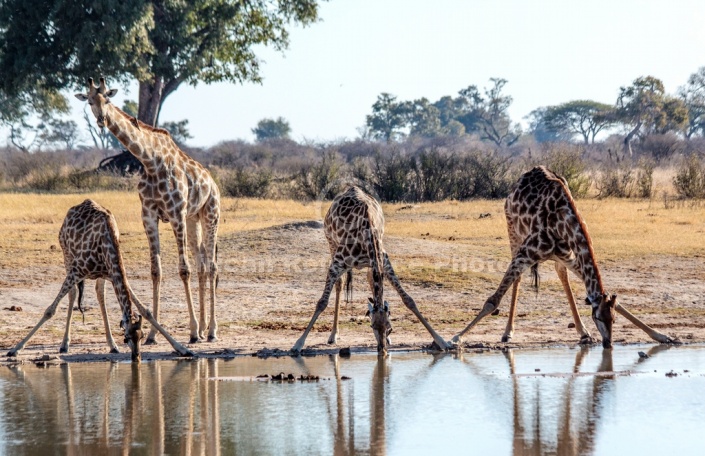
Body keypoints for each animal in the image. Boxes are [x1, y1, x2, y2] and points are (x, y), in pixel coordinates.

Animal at [5, 199, 194, 360]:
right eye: (126, 338)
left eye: (141, 336)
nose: (136, 358)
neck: (107, 242)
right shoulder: (76, 271)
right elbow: (50, 310)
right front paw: (15, 349)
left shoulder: (113, 274)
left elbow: (145, 310)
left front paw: (183, 349)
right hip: (67, 257)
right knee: (73, 294)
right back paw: (64, 344)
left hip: (100, 275)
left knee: (99, 294)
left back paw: (111, 345)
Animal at [75, 76, 219, 344]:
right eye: (89, 101)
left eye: (107, 98)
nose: (101, 120)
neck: (151, 161)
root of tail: (212, 182)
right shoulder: (149, 215)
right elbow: (156, 271)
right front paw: (153, 334)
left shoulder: (175, 213)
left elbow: (183, 270)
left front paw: (193, 331)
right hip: (193, 218)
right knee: (203, 263)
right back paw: (206, 326)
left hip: (211, 214)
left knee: (212, 265)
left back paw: (211, 330)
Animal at [292, 184, 452, 352]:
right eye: (372, 326)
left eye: (389, 327)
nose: (382, 349)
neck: (367, 234)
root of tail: (351, 188)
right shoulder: (337, 263)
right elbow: (322, 302)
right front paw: (298, 343)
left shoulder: (384, 261)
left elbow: (408, 300)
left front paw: (442, 341)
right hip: (331, 243)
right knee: (340, 284)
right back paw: (333, 334)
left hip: (370, 263)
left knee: (369, 279)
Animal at [452, 167, 676, 350]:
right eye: (597, 317)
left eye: (613, 319)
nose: (608, 343)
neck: (563, 222)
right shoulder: (526, 252)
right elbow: (493, 301)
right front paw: (456, 338)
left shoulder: (570, 256)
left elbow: (614, 300)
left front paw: (662, 336)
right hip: (513, 231)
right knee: (518, 278)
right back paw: (508, 333)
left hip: (557, 256)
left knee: (561, 275)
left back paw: (583, 332)